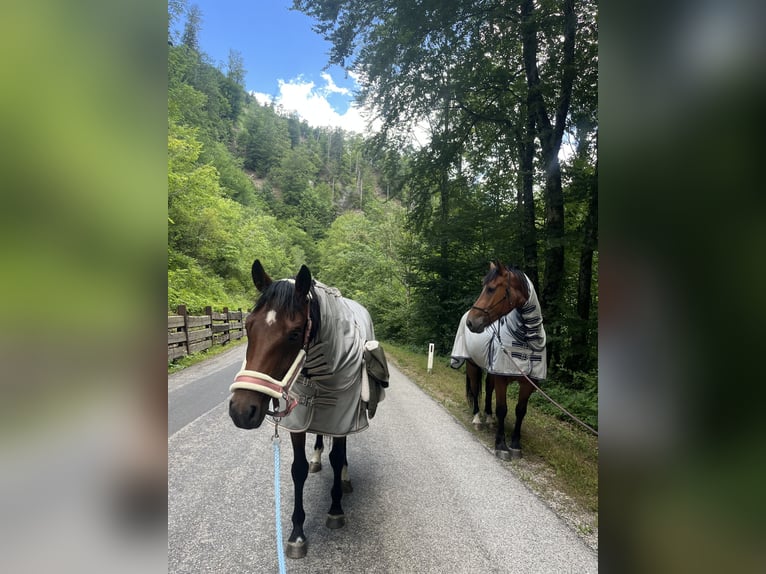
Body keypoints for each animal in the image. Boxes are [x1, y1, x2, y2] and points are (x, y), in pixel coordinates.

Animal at [229, 260, 381, 559]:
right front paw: (297, 533)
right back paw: (317, 457)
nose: (241, 410)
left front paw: (335, 509)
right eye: (248, 326)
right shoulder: (298, 420)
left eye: (295, 333)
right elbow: (297, 469)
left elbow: (338, 457)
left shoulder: (341, 417)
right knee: (319, 435)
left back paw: (344, 478)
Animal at [450, 260, 547, 459]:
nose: (471, 322)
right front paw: (501, 445)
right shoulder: (502, 376)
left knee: (488, 389)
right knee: (475, 389)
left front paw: (516, 445)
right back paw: (477, 419)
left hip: (491, 369)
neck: (527, 340)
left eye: (491, 289)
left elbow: (520, 410)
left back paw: (489, 418)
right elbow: (502, 409)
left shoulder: (527, 382)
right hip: (472, 365)